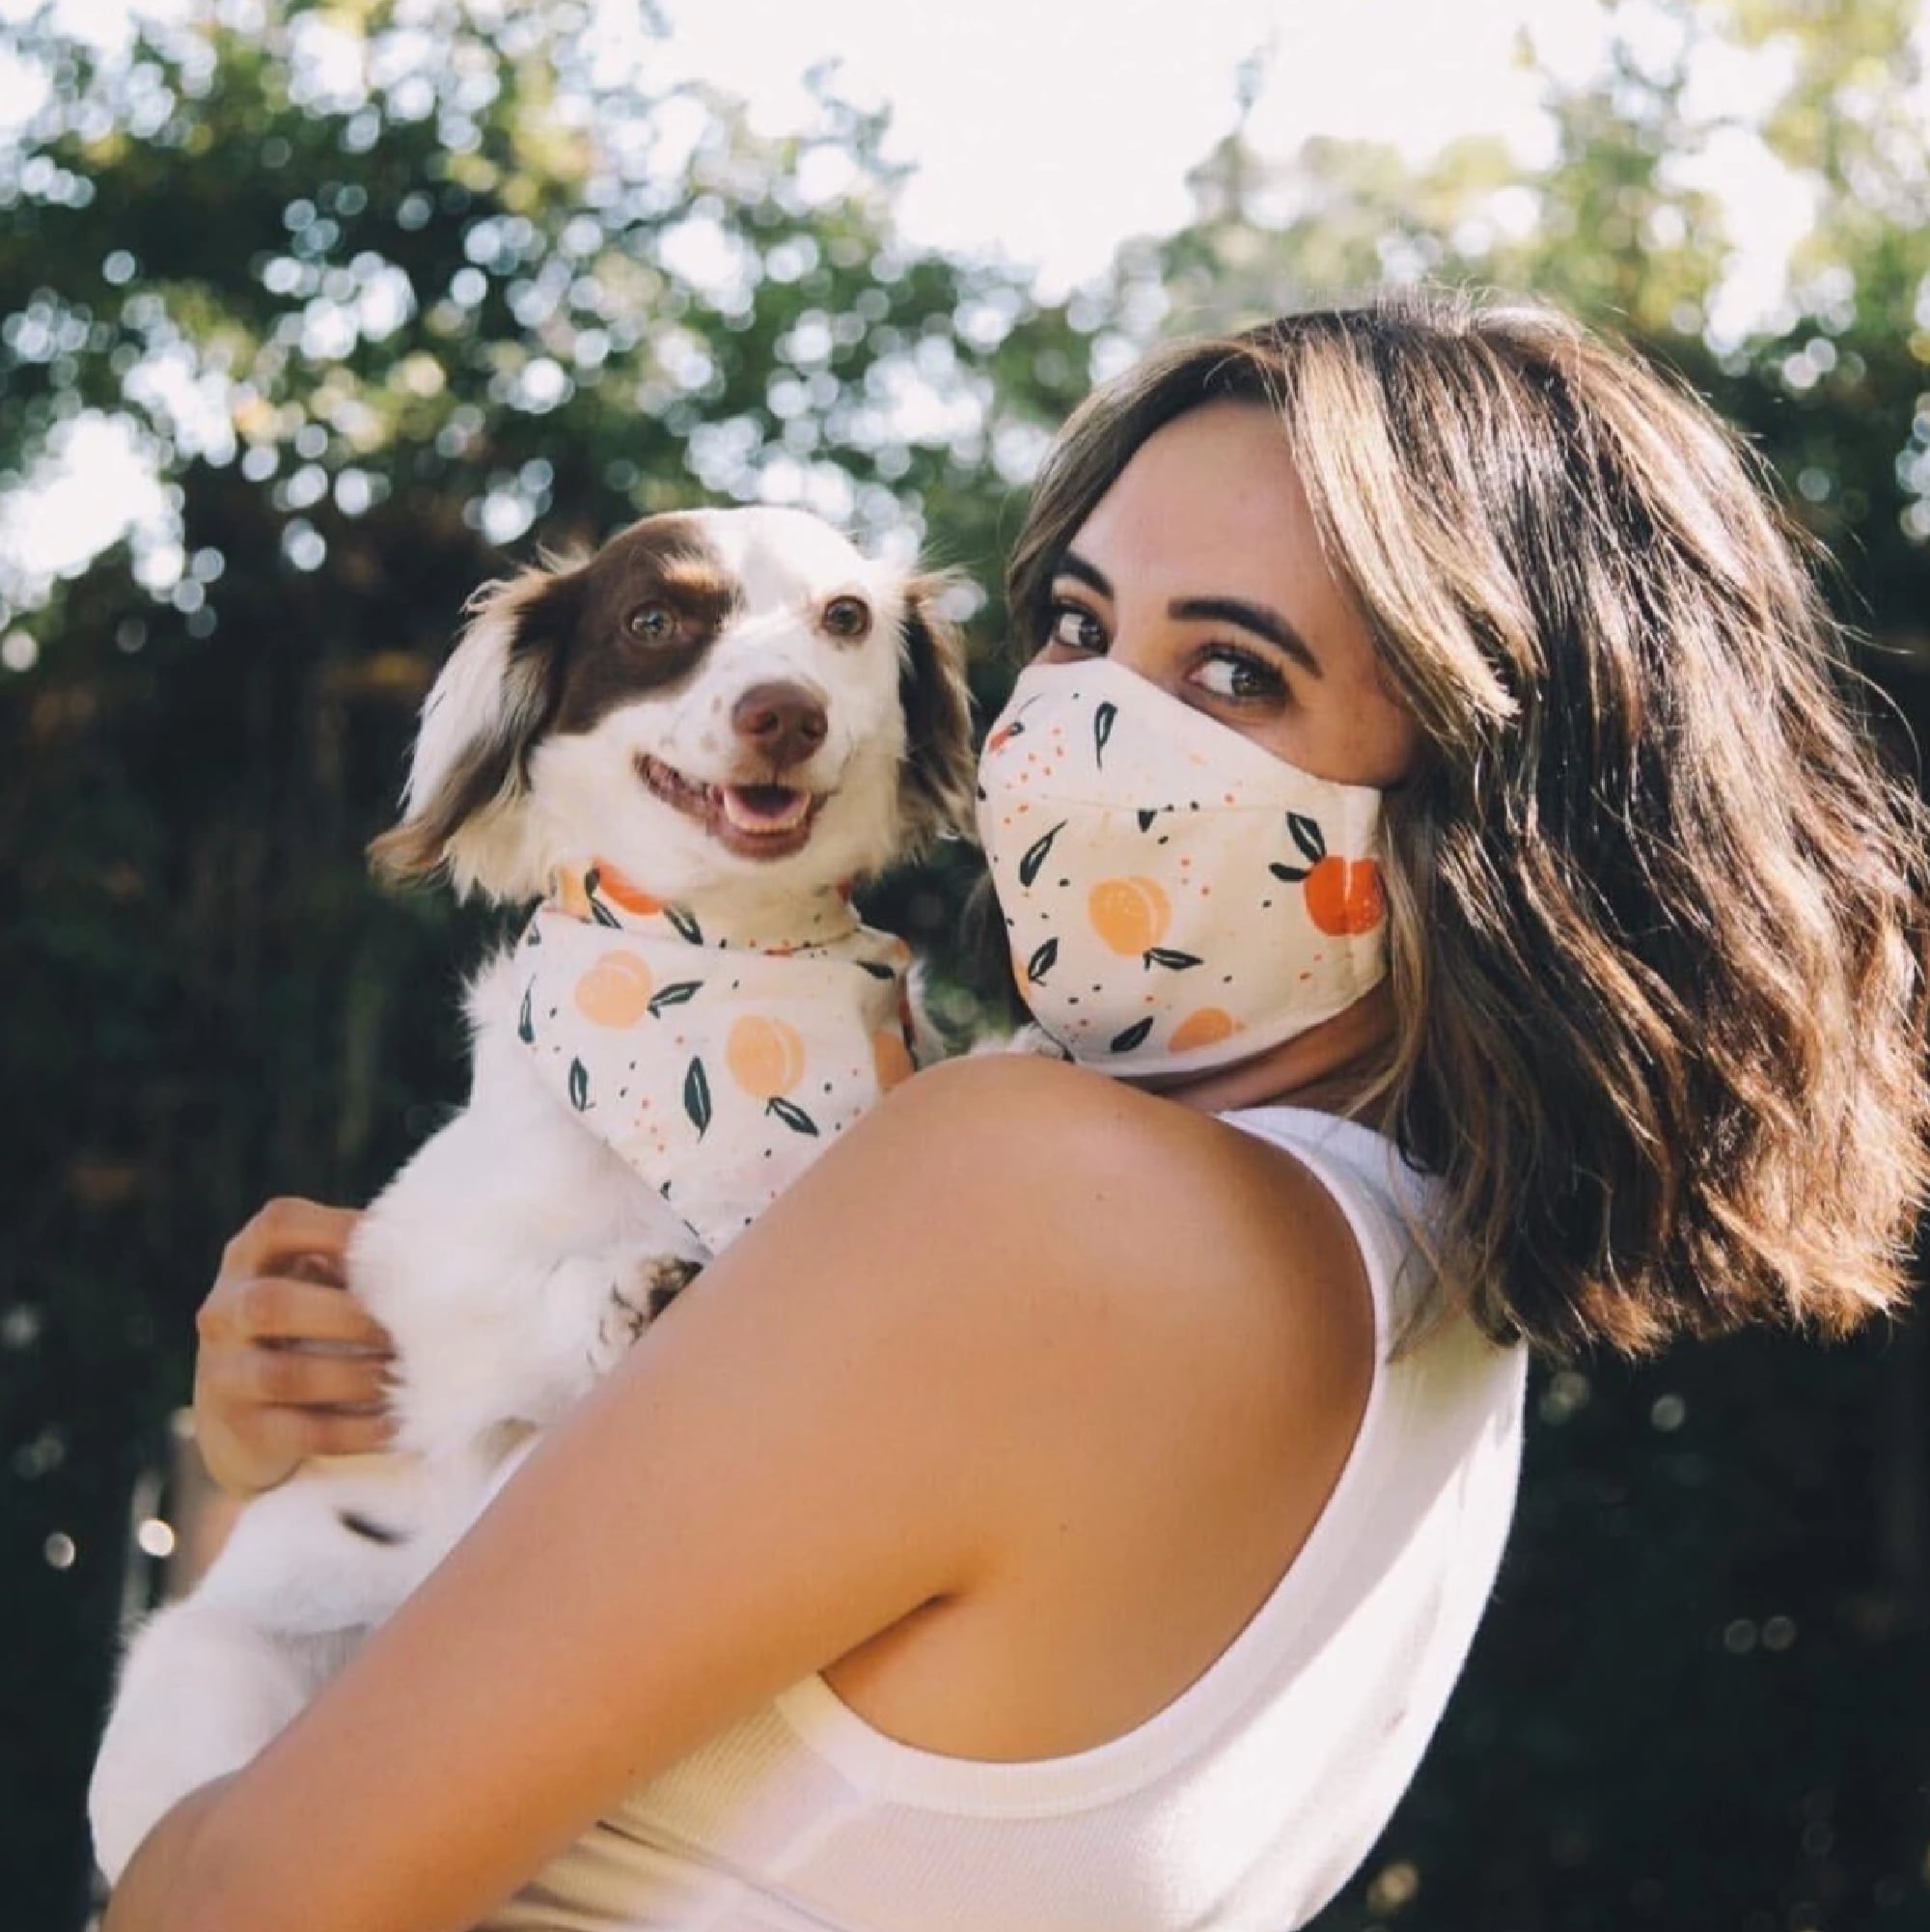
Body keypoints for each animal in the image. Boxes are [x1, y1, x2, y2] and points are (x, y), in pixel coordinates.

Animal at [87, 506, 981, 1877]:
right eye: (656, 620)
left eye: (844, 618)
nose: (784, 711)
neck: (723, 976)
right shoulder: (403, 1267)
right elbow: (510, 1300)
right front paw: (625, 1291)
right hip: (208, 1659)